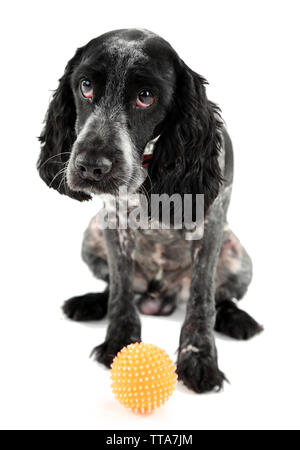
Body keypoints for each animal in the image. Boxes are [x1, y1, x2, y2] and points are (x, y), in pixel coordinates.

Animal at [37, 29, 262, 394]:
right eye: (85, 86)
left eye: (146, 97)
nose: (90, 167)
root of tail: (160, 296)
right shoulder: (113, 222)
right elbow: (120, 290)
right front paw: (119, 343)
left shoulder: (211, 223)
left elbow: (202, 299)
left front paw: (199, 358)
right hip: (92, 235)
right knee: (112, 286)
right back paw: (89, 302)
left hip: (238, 255)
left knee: (222, 297)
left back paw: (237, 319)